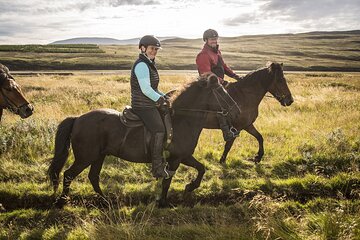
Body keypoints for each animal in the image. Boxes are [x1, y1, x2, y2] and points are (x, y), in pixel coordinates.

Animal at [47, 74, 239, 207]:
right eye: (220, 92)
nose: (237, 110)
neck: (182, 119)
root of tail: (77, 118)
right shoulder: (176, 158)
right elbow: (167, 181)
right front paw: (163, 202)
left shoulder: (183, 156)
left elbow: (201, 168)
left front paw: (190, 187)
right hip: (85, 157)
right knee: (68, 175)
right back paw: (62, 201)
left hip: (98, 156)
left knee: (93, 177)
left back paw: (105, 200)